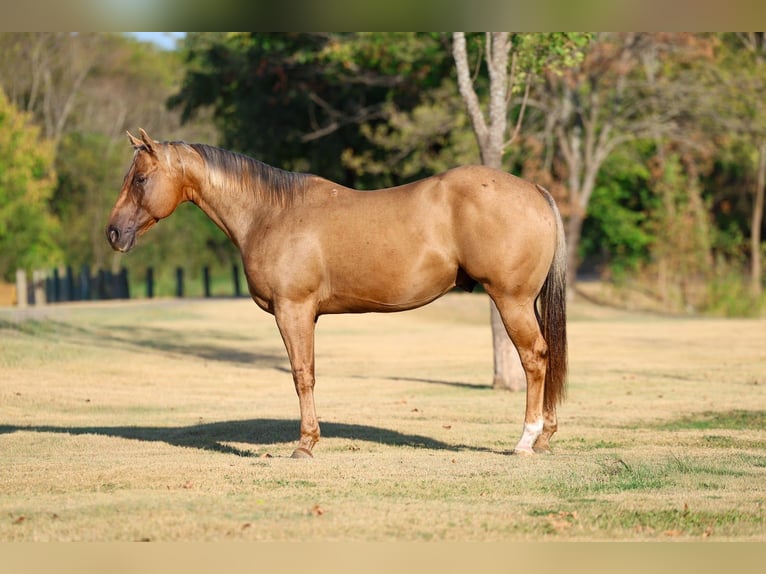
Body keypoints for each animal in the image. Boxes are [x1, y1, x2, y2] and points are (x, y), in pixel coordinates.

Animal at [106, 128, 568, 459]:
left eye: (141, 179)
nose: (113, 233)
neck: (271, 213)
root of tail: (536, 191)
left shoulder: (293, 310)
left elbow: (302, 375)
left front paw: (305, 444)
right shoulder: (305, 314)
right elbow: (308, 373)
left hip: (512, 301)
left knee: (534, 359)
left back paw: (526, 441)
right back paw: (545, 437)